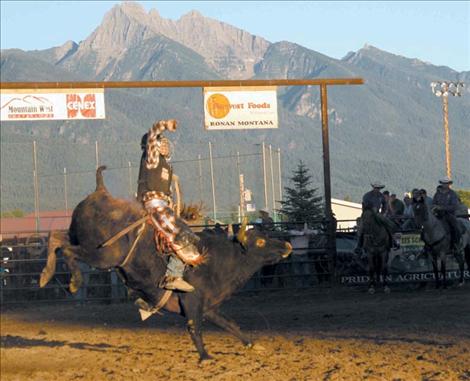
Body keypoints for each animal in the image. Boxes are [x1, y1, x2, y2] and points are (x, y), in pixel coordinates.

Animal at [40, 166, 292, 360]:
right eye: (260, 241)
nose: (287, 245)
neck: (220, 260)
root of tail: (101, 192)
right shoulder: (192, 301)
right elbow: (194, 326)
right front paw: (205, 356)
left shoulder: (209, 307)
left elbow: (230, 324)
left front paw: (252, 344)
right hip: (104, 255)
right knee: (68, 251)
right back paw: (73, 281)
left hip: (81, 240)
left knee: (56, 238)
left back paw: (45, 275)